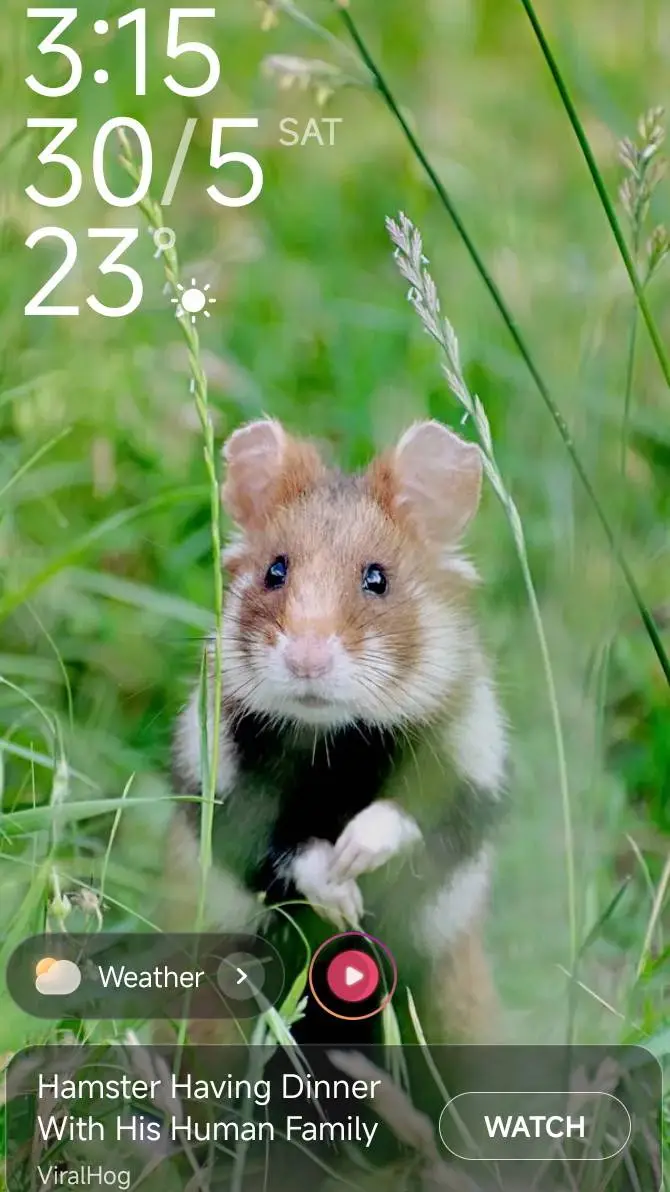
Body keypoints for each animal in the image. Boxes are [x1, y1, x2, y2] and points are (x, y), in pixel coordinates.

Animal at [166, 417, 507, 1043]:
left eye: (377, 578)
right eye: (275, 570)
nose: (307, 661)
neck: (332, 746)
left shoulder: (473, 773)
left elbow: (417, 819)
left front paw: (353, 854)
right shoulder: (219, 788)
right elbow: (278, 849)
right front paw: (342, 896)